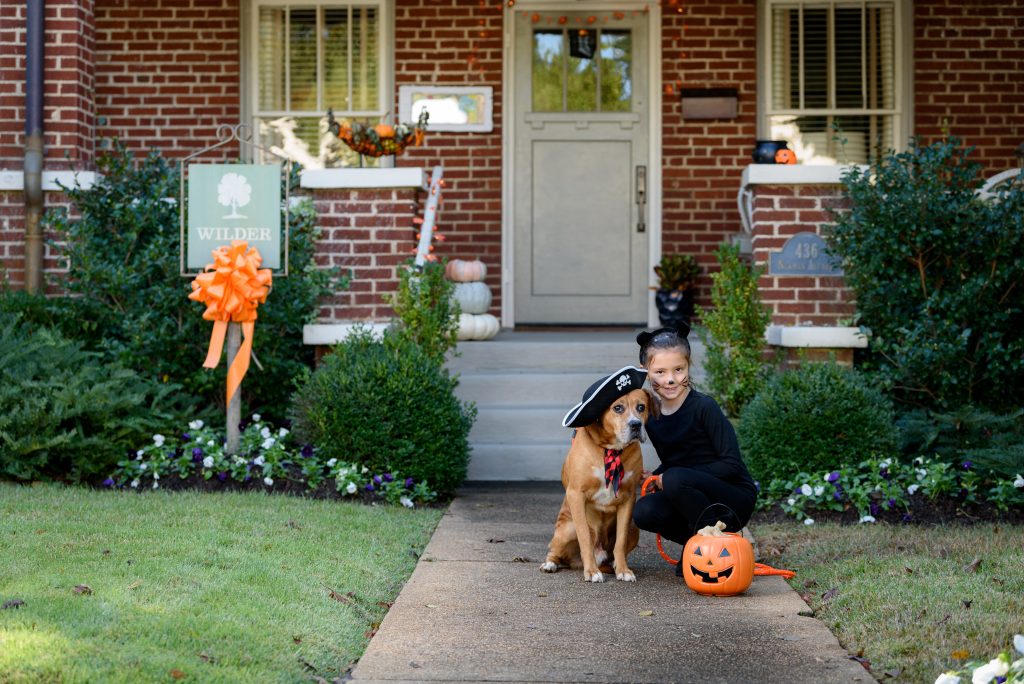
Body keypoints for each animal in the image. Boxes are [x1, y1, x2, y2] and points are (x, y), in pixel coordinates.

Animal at [544, 368, 655, 581]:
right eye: (618, 408)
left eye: (641, 407)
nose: (636, 425)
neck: (611, 450)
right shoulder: (576, 495)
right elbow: (585, 538)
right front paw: (591, 571)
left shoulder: (628, 498)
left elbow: (620, 541)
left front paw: (623, 570)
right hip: (566, 529)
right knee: (554, 550)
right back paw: (551, 564)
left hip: (634, 528)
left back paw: (612, 565)